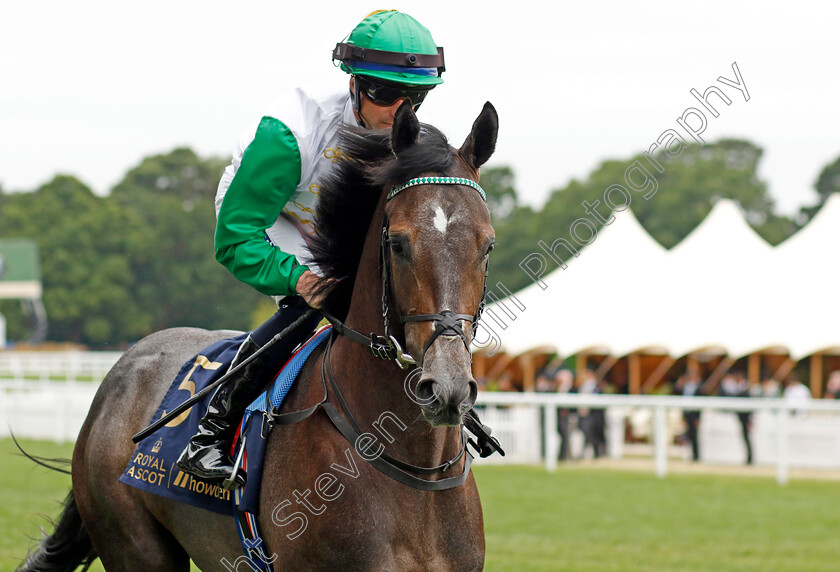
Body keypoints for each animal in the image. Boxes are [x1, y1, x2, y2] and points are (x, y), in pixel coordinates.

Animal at [18, 100, 498, 568]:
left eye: (488, 244)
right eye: (398, 243)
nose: (448, 387)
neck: (415, 470)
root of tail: (121, 370)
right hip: (133, 544)